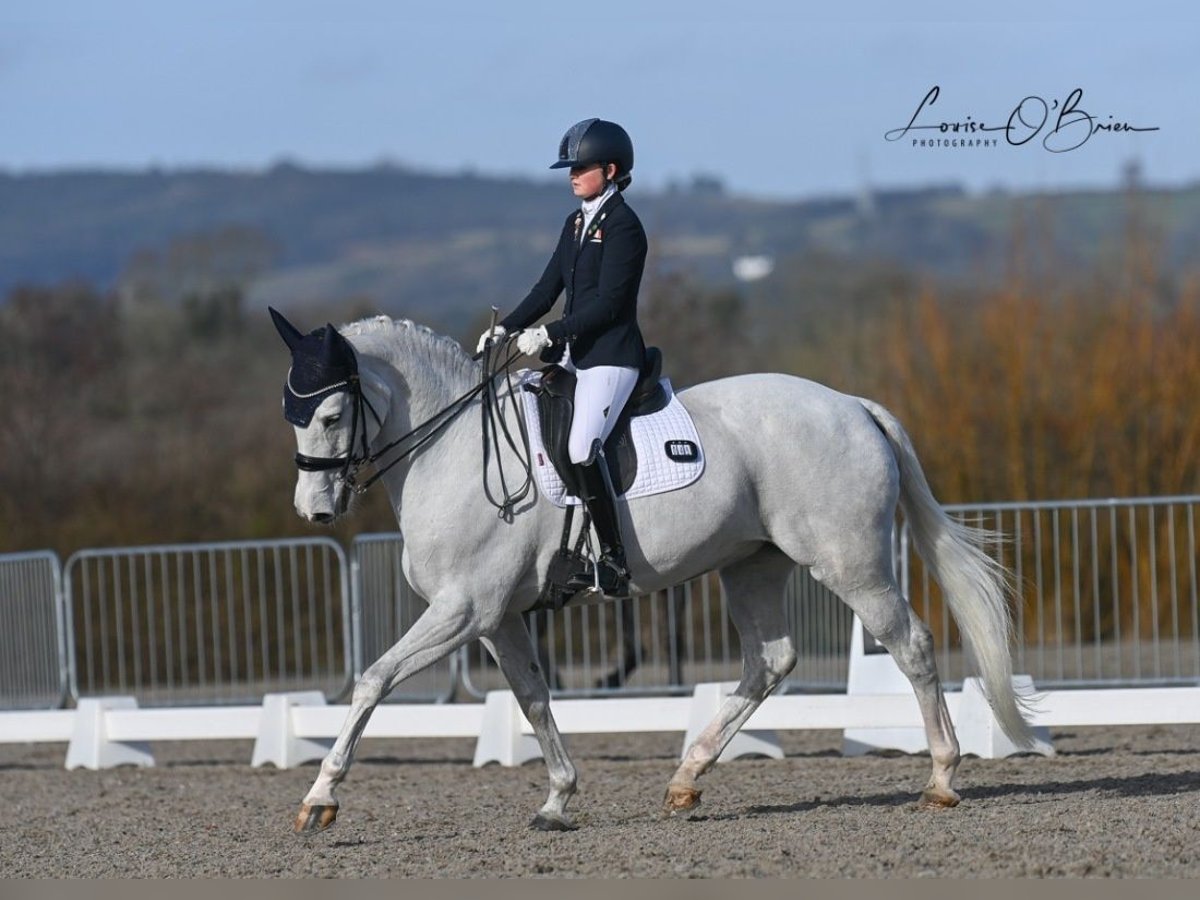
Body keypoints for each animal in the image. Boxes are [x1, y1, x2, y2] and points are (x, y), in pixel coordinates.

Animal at [274, 314, 1032, 835]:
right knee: (771, 662)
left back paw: (940, 779)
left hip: (849, 562)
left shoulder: (463, 610)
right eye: (292, 415)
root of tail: (852, 406)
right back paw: (686, 780)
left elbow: (373, 680)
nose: (314, 510)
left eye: (333, 414)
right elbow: (533, 699)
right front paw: (558, 798)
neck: (456, 451)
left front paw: (319, 800)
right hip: (752, 566)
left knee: (911, 646)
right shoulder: (498, 618)